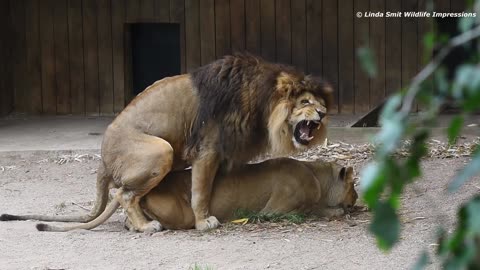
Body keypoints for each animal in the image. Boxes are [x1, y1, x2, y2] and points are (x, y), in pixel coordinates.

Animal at [0, 53, 330, 231]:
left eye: (320, 102)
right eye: (305, 102)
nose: (324, 113)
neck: (260, 104)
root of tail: (102, 160)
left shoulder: (226, 154)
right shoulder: (207, 150)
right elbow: (200, 192)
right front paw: (203, 222)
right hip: (162, 150)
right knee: (124, 194)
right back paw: (145, 226)